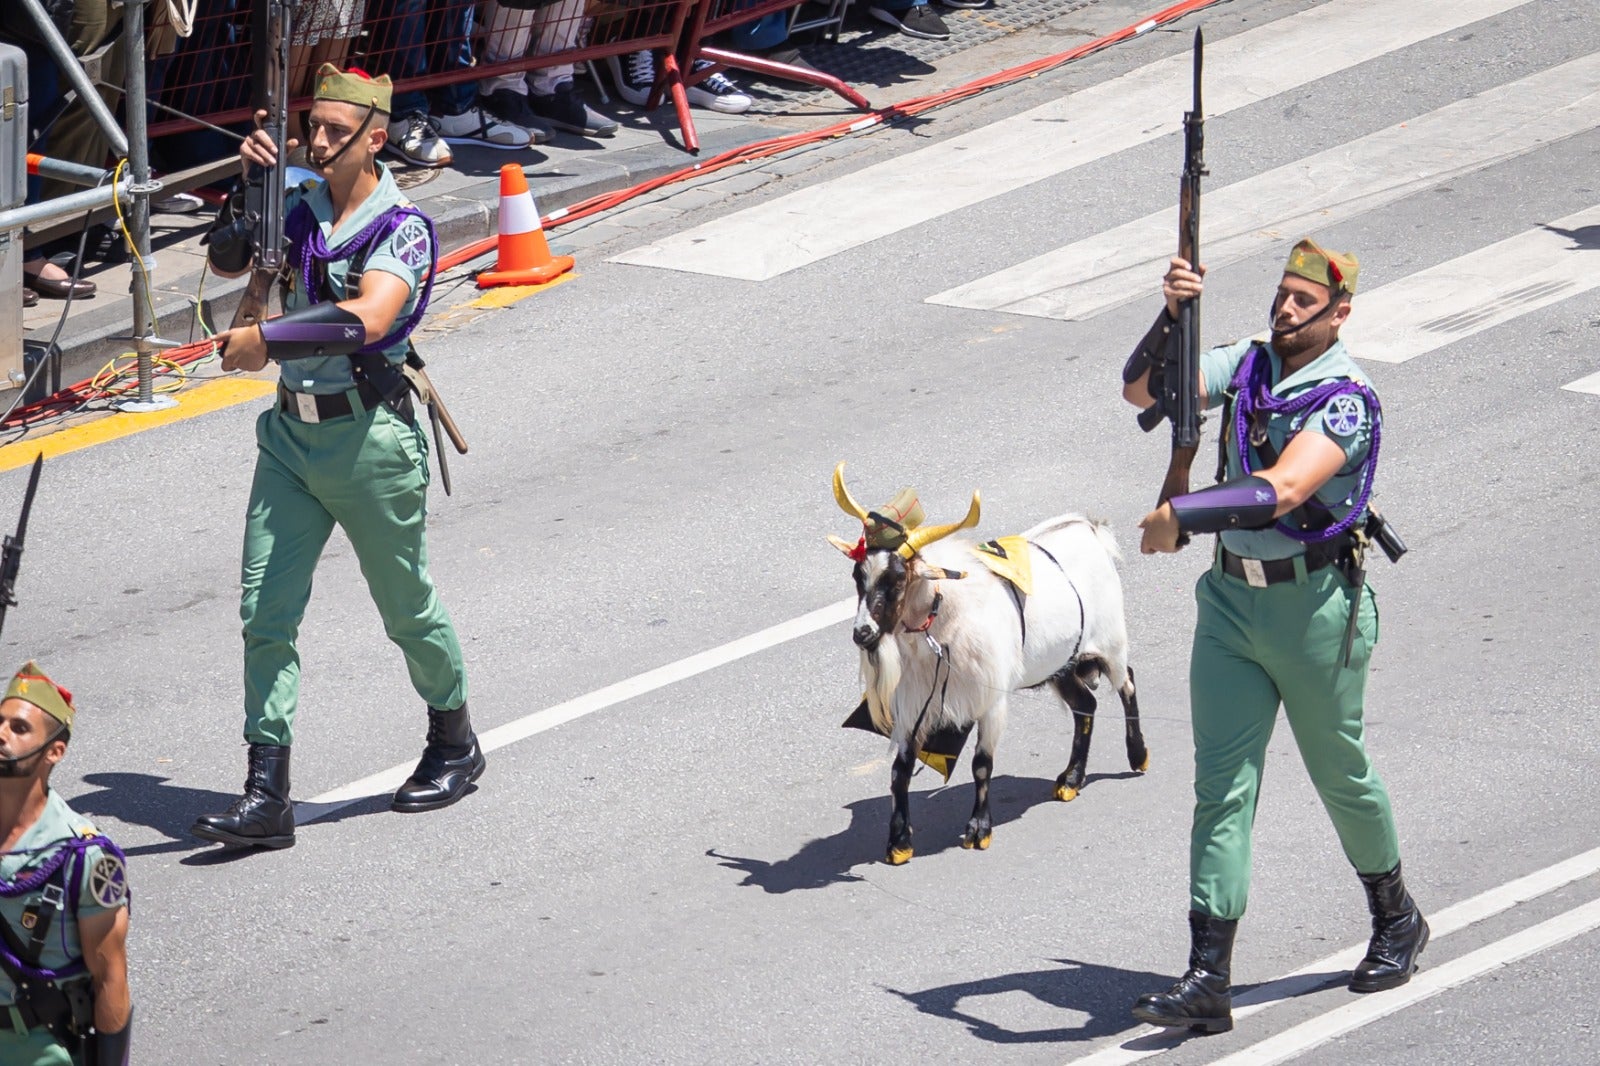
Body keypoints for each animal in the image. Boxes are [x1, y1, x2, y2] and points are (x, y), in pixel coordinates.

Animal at [832, 460, 1145, 857]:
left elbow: (982, 764)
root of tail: (1089, 528)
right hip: (1060, 662)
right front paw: (899, 841)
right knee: (1085, 705)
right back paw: (1071, 779)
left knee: (1127, 683)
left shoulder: (990, 700)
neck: (947, 617)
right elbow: (899, 769)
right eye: (858, 576)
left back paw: (1138, 756)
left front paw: (978, 829)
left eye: (898, 578)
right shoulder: (914, 704)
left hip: (1110, 642)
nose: (863, 633)